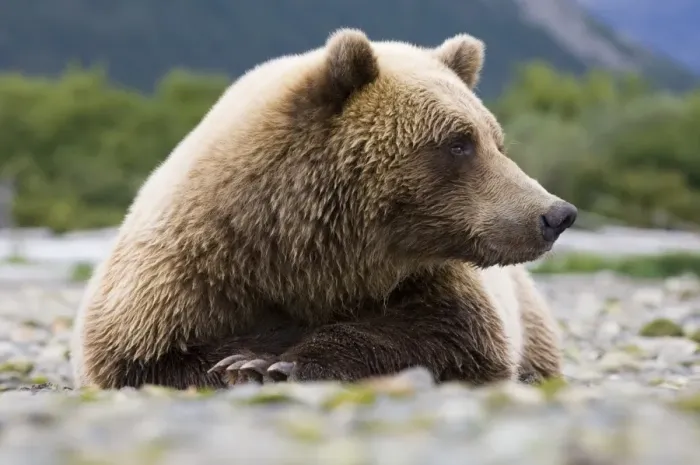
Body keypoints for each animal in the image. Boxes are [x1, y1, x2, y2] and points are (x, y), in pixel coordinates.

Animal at [69, 28, 575, 390]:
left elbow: (454, 336)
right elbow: (140, 357)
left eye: (495, 140)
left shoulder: (428, 276)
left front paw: (274, 362)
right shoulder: (189, 273)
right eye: (458, 143)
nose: (555, 214)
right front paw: (241, 363)